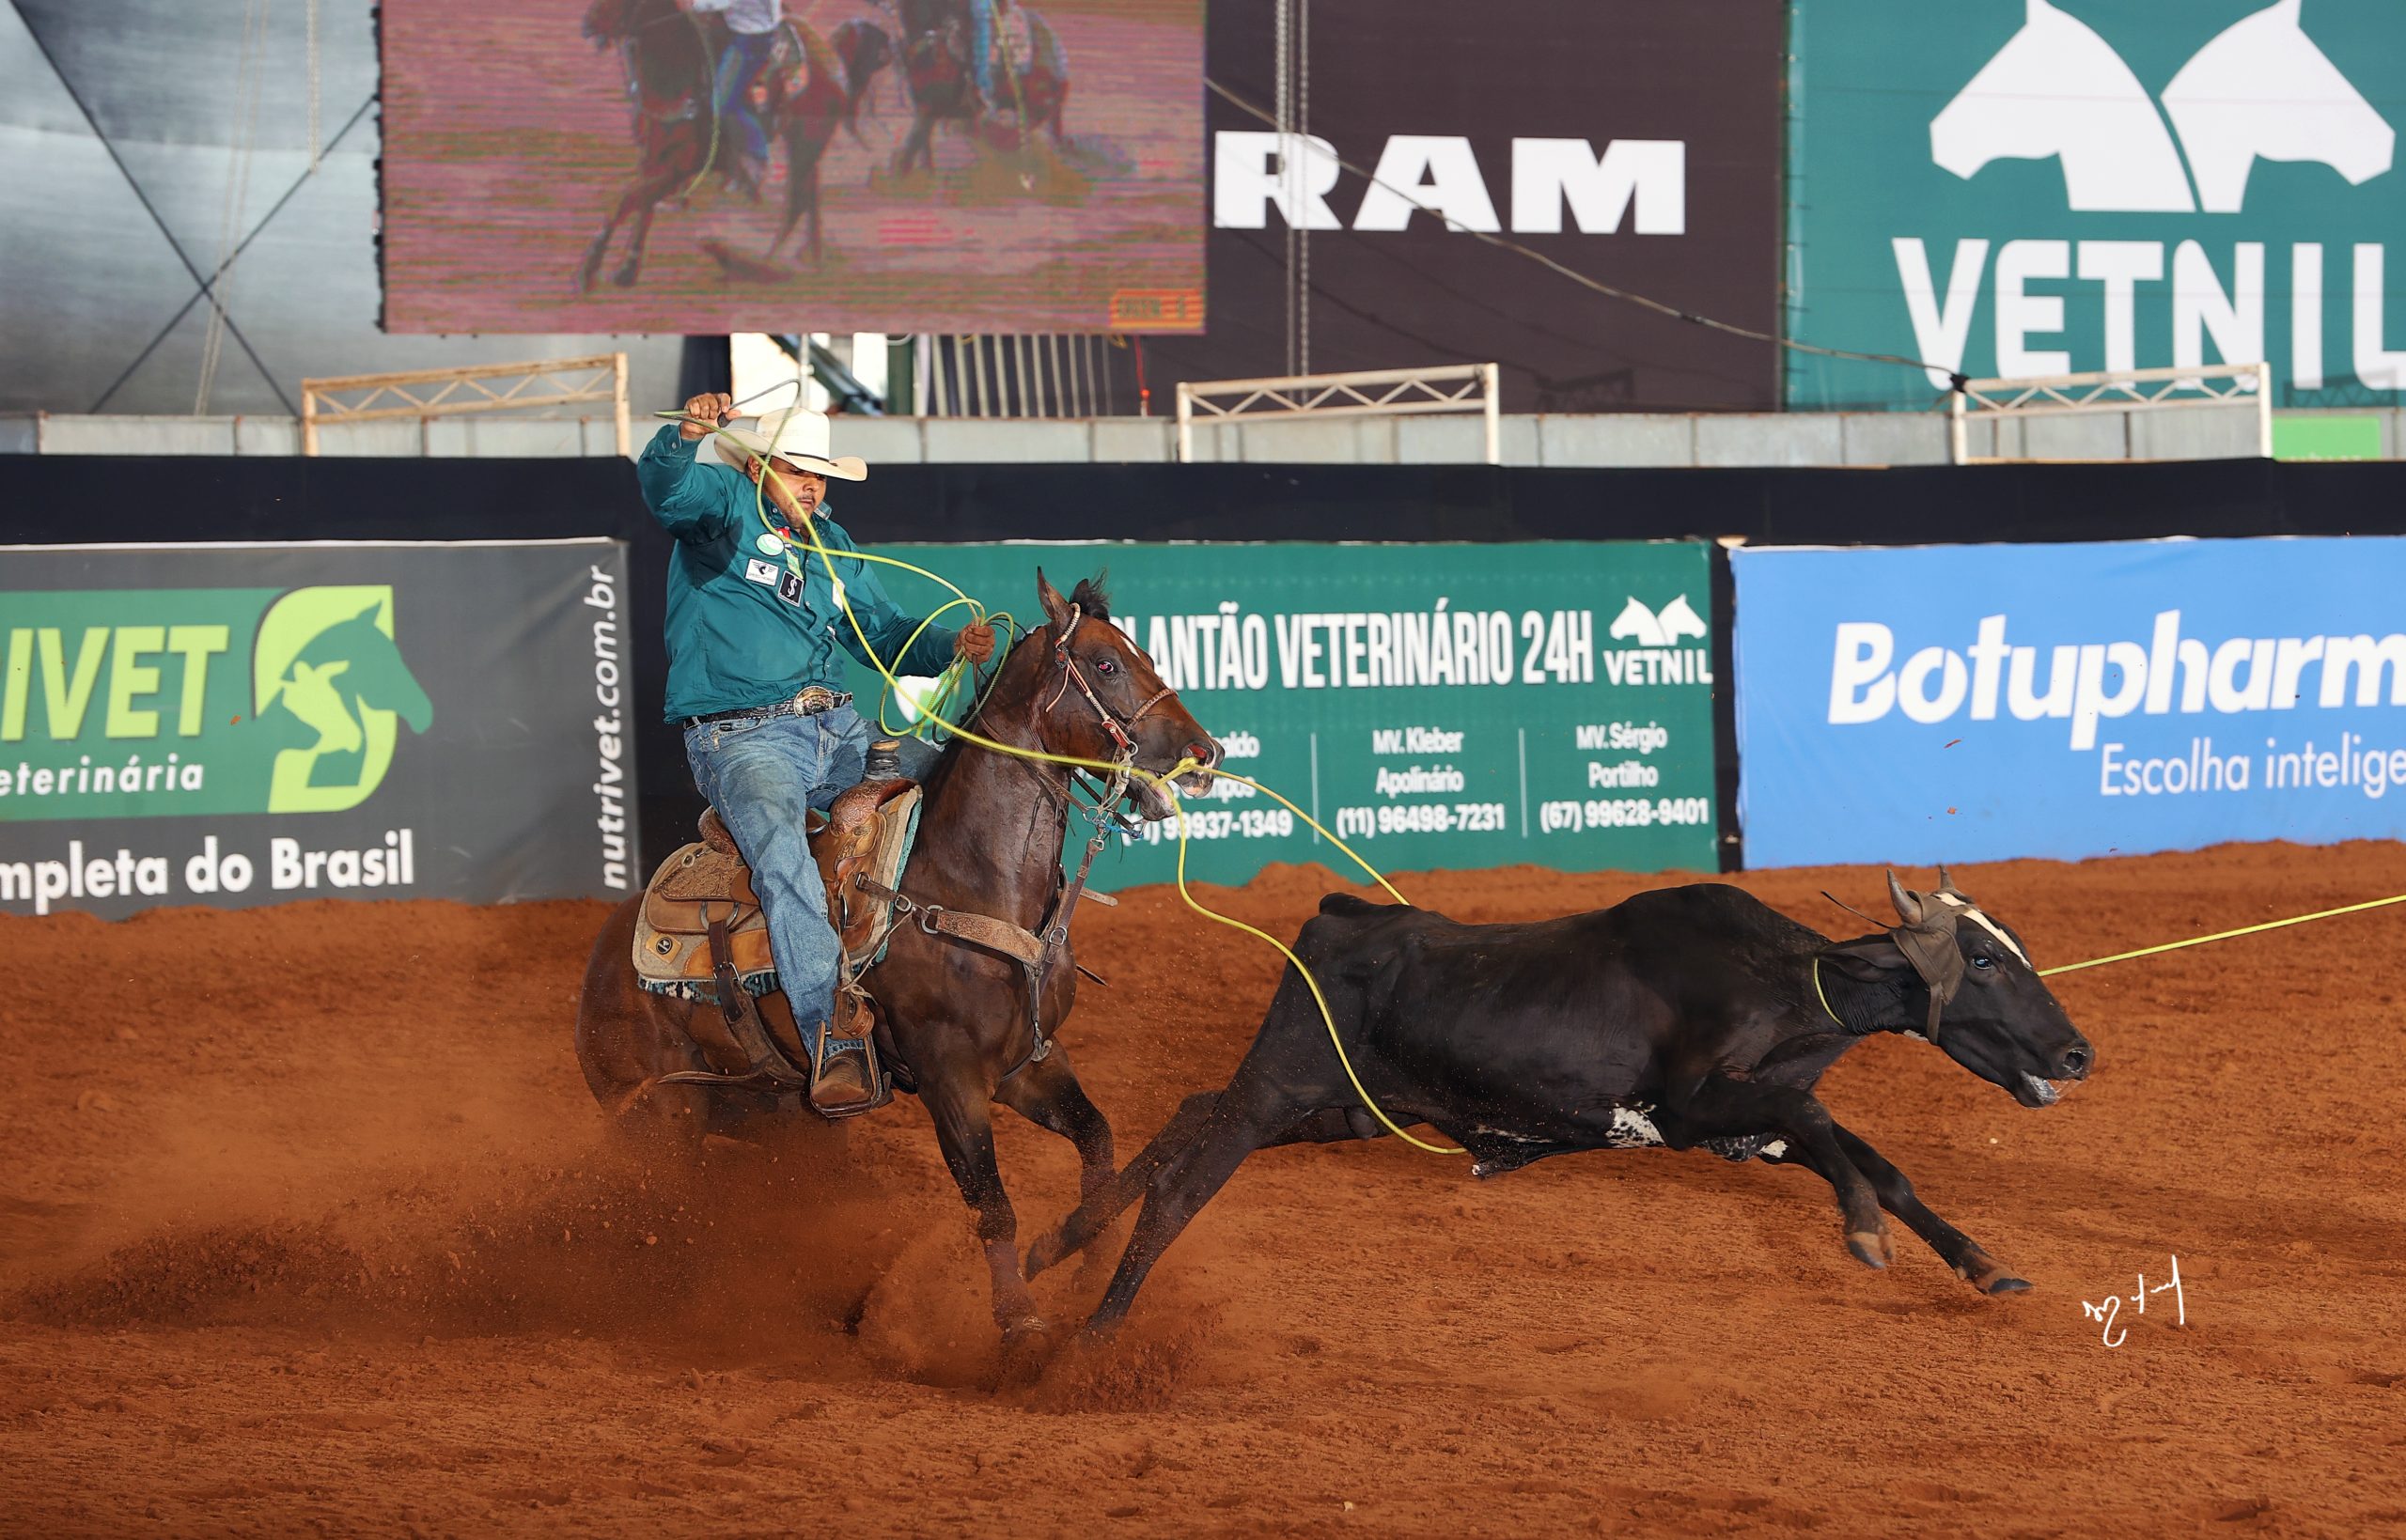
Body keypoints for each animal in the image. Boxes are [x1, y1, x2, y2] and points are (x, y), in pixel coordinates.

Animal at [568, 575, 1222, 1357]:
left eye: (1144, 653)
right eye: (1105, 665)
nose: (1206, 752)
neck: (966, 881)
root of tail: (607, 950)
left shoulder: (1027, 1062)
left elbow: (1099, 1143)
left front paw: (1083, 1274)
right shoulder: (949, 1075)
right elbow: (992, 1202)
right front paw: (1021, 1320)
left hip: (775, 1110)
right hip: (661, 1113)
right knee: (664, 1204)